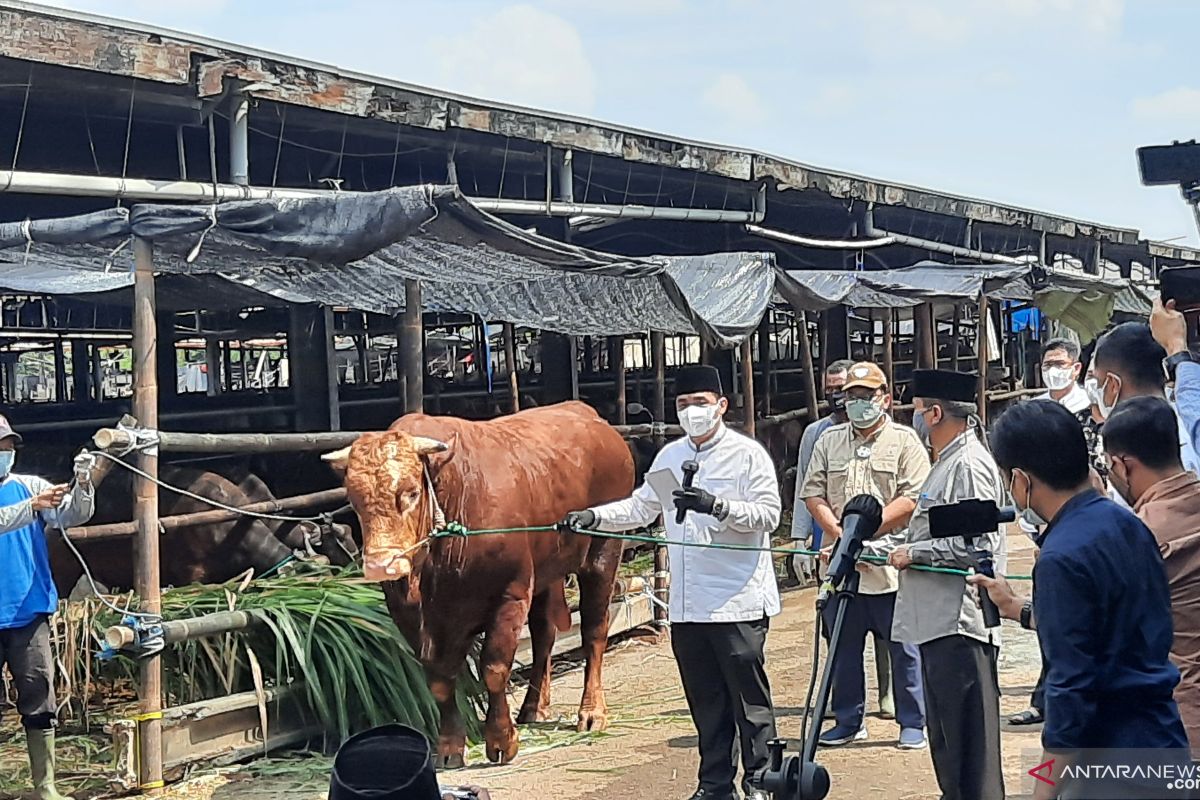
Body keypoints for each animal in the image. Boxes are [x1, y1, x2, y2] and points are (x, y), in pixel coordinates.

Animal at [324, 402, 633, 767]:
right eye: (354, 500)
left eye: (410, 493)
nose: (379, 564)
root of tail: (590, 416)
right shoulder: (411, 616)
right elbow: (439, 680)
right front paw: (449, 749)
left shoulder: (510, 594)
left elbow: (495, 668)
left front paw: (501, 740)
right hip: (546, 573)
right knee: (544, 634)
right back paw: (533, 708)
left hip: (603, 553)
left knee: (594, 630)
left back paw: (592, 712)